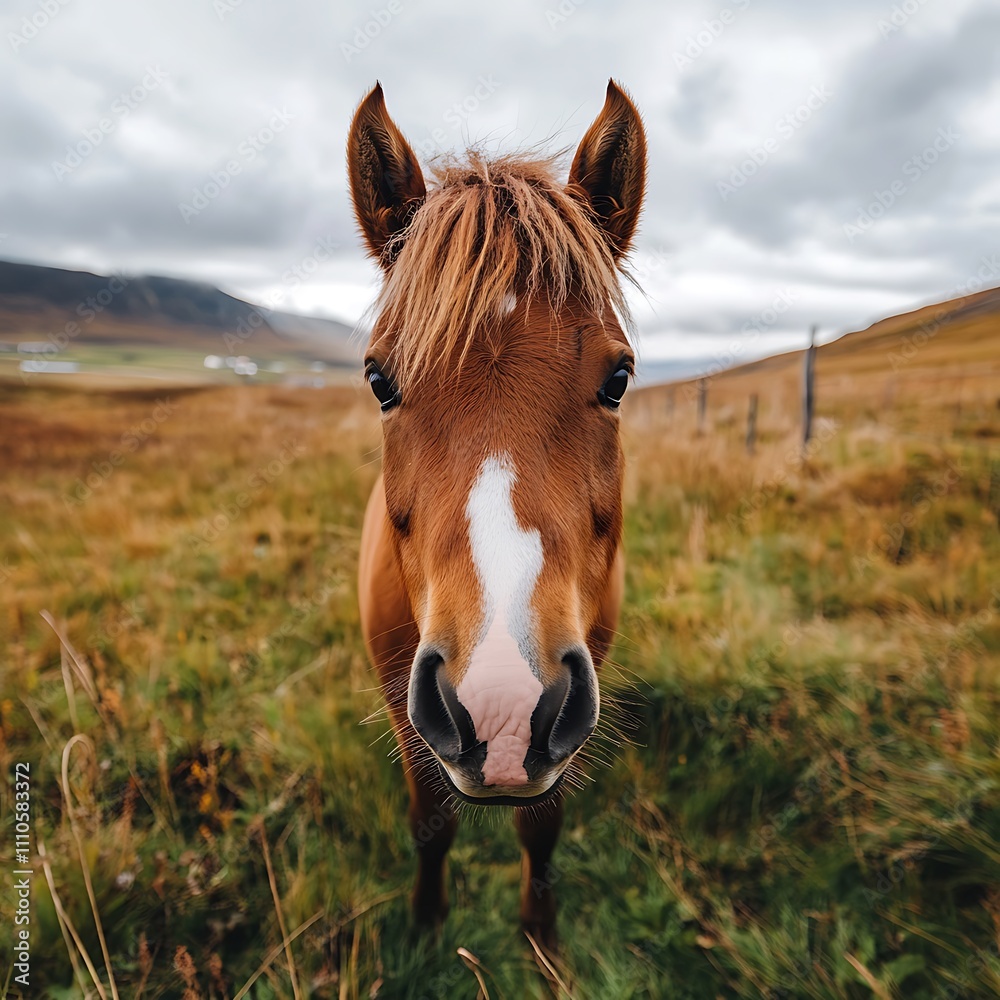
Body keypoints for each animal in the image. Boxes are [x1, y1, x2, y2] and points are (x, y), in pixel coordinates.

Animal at [350, 79, 647, 950]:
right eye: (380, 381)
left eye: (618, 379)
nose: (504, 708)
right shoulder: (403, 703)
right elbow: (430, 823)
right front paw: (424, 925)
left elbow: (540, 828)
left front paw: (540, 937)